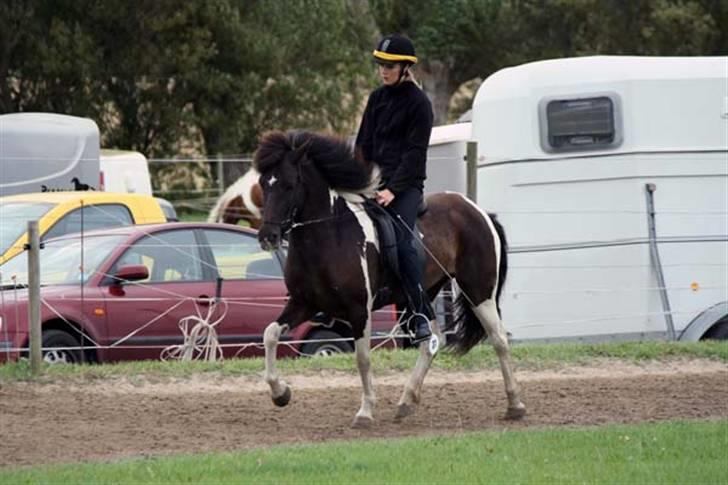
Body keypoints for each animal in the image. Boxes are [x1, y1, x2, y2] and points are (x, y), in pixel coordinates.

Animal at [255, 130, 524, 426]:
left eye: (290, 185)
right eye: (264, 184)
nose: (267, 237)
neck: (329, 236)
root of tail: (478, 211)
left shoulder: (359, 310)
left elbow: (362, 358)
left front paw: (365, 412)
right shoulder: (303, 304)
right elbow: (269, 334)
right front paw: (280, 393)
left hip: (478, 291)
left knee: (498, 338)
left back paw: (515, 405)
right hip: (422, 294)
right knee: (433, 341)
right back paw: (406, 400)